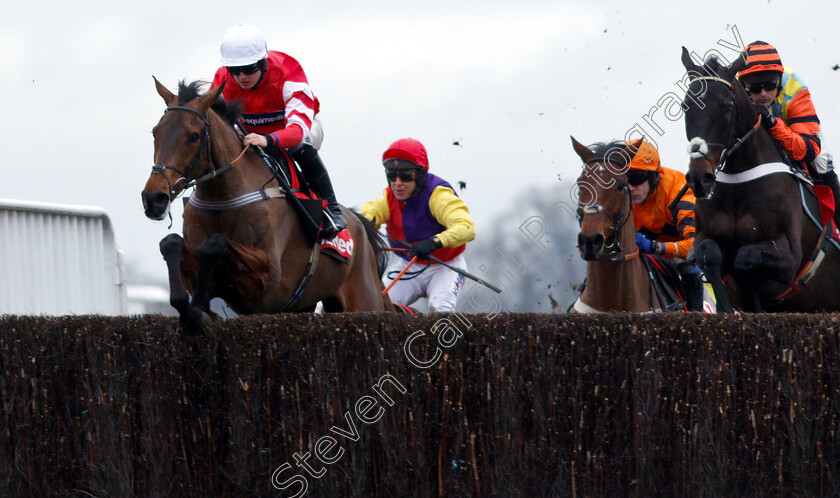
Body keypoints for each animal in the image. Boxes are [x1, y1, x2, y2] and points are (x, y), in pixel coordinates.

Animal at [141, 80, 394, 332]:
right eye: (155, 132)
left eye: (193, 136)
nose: (154, 198)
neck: (222, 199)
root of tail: (359, 225)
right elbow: (171, 244)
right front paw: (196, 312)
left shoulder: (267, 280)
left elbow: (215, 243)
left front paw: (198, 311)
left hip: (364, 301)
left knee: (303, 148)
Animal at [680, 47, 840, 312]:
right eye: (685, 106)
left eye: (726, 106)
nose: (699, 178)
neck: (739, 182)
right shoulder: (703, 236)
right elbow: (708, 253)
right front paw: (728, 308)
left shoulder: (790, 258)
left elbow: (746, 257)